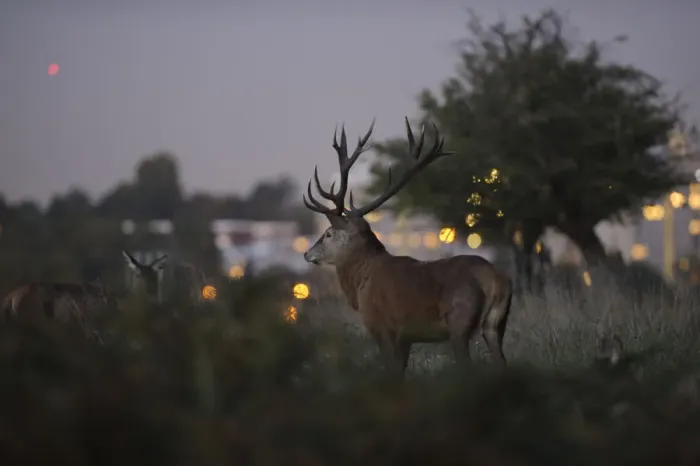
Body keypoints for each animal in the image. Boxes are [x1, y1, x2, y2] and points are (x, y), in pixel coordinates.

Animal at [301, 117, 513, 377]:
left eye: (328, 233)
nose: (307, 253)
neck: (362, 280)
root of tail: (496, 280)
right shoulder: (406, 337)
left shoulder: (382, 327)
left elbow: (391, 373)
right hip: (496, 325)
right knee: (502, 363)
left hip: (459, 322)